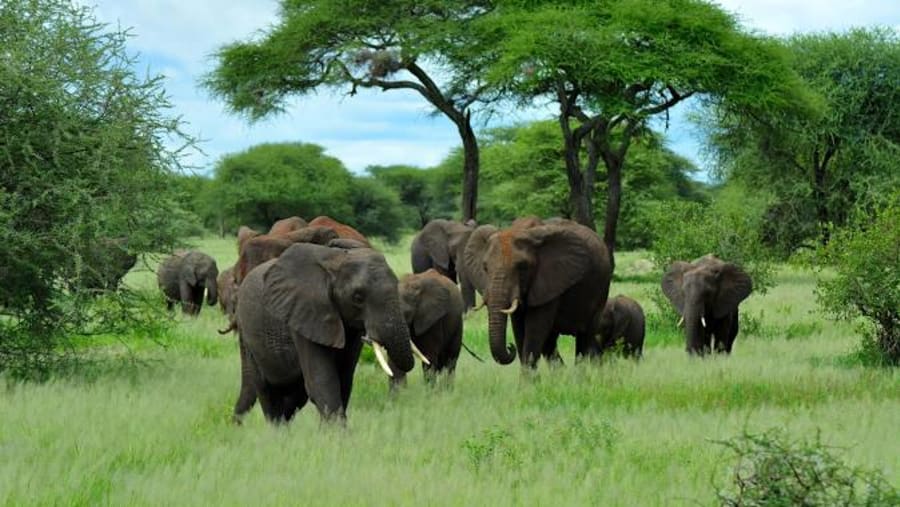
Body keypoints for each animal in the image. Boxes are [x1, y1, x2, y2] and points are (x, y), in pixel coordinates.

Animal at [233, 243, 414, 424]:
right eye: (357, 297)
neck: (335, 261)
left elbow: (343, 380)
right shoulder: (305, 313)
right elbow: (322, 381)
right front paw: (336, 432)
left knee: (294, 397)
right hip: (249, 337)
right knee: (267, 391)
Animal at [466, 222, 612, 368]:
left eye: (522, 267)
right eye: (485, 267)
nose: (509, 346)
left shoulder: (550, 282)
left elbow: (534, 329)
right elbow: (519, 328)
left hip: (601, 290)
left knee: (584, 337)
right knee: (551, 342)